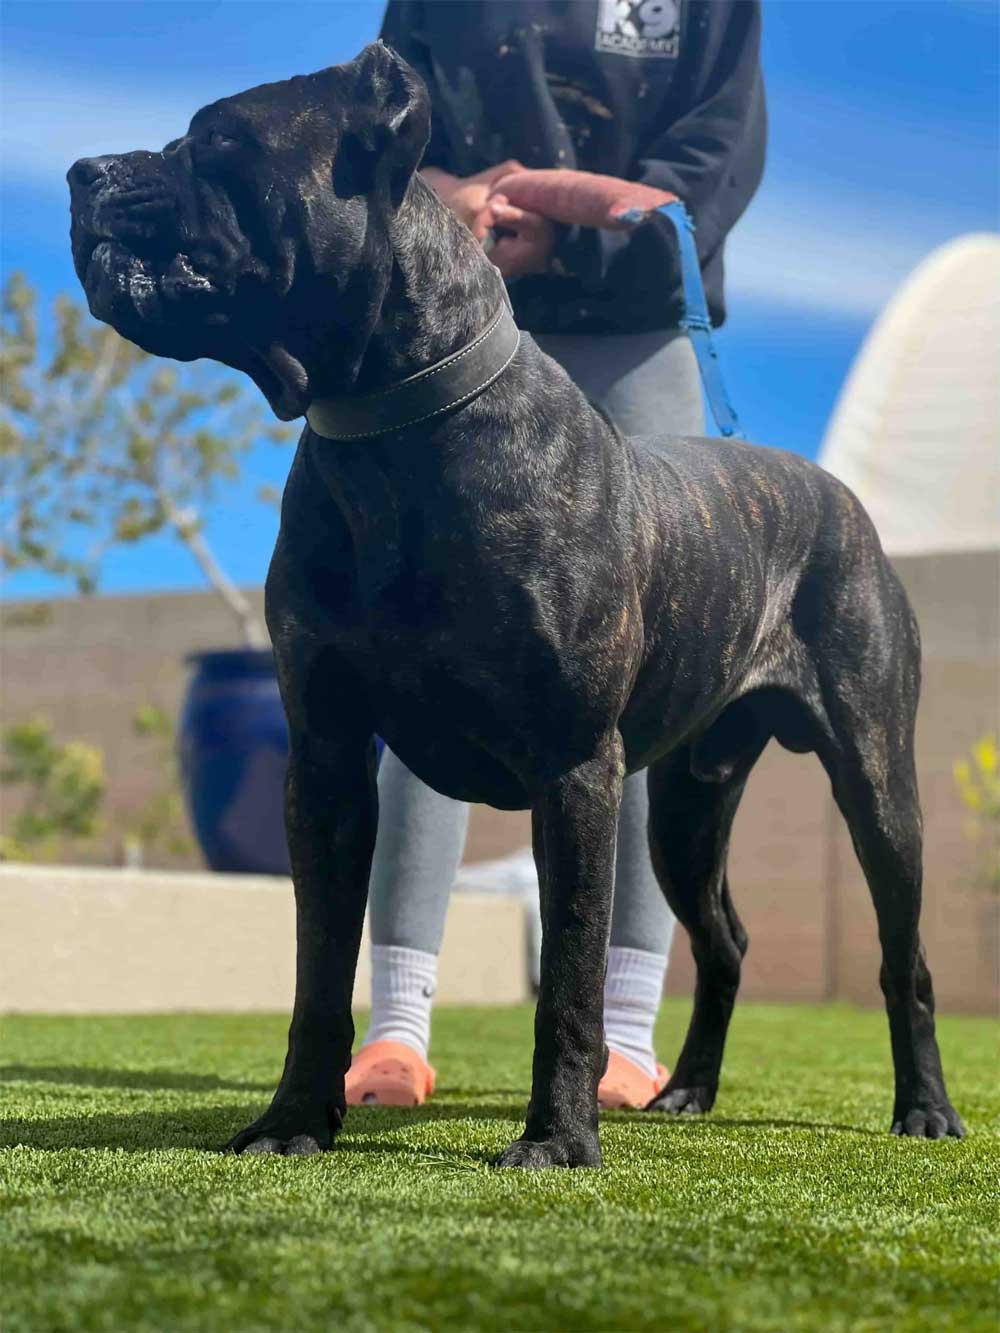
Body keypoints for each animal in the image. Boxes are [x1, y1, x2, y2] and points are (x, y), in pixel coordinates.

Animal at [68, 44, 965, 1167]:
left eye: (220, 138)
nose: (82, 172)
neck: (390, 430)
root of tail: (830, 493)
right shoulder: (326, 763)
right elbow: (319, 964)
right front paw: (292, 1120)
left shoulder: (573, 767)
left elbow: (571, 970)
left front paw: (559, 1140)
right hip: (686, 806)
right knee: (726, 940)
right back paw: (687, 1090)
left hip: (874, 781)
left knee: (905, 955)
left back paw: (924, 1108)